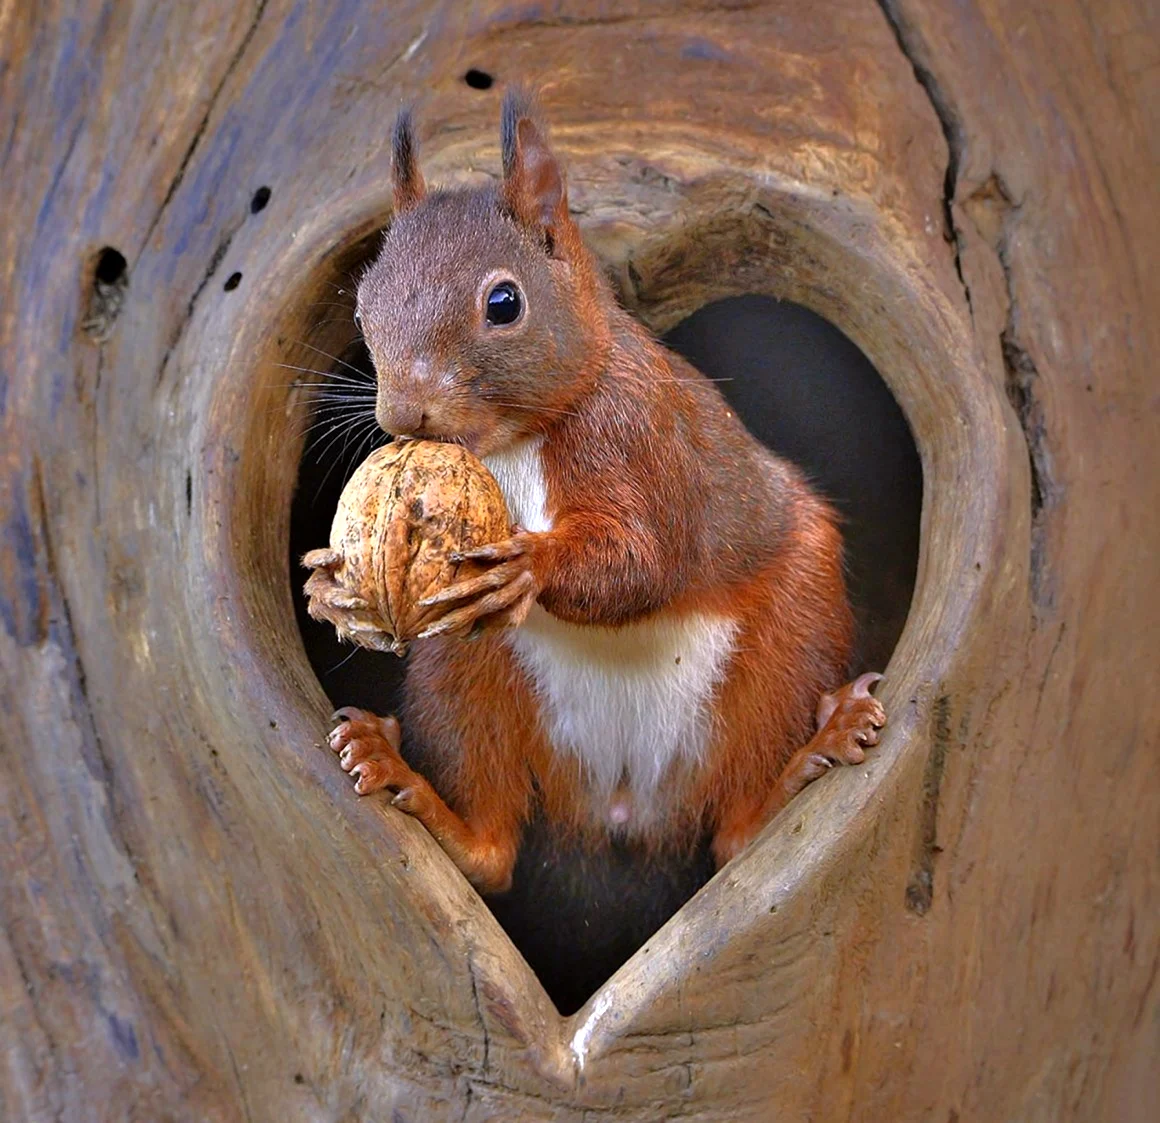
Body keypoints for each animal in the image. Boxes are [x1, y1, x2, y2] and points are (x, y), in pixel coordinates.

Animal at [303, 89, 881, 895]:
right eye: (361, 308)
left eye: (504, 303)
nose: (403, 414)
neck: (514, 444)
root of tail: (624, 798)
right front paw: (329, 583)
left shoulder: (640, 438)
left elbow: (644, 561)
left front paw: (529, 566)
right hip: (465, 671)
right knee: (492, 849)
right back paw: (405, 781)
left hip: (792, 635)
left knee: (738, 830)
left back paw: (812, 755)